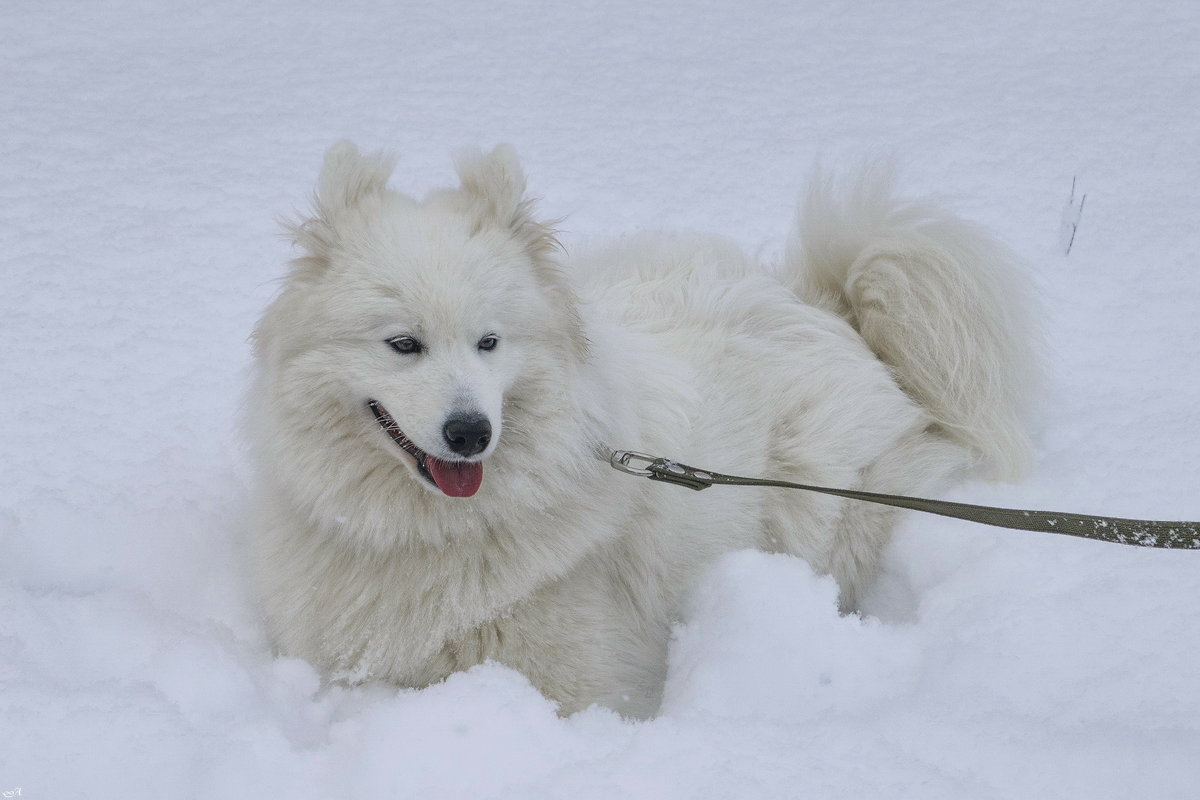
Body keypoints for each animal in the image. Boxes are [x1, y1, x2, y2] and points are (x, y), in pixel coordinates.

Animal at [248, 145, 1036, 719]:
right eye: (403, 344)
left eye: (489, 342)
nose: (471, 432)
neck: (429, 534)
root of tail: (827, 308)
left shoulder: (578, 687)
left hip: (819, 502)